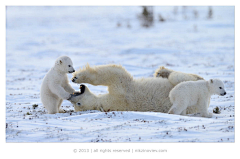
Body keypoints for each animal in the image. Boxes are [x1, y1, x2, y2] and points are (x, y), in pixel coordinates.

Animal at [69, 64, 201, 113]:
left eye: (78, 103)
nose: (70, 97)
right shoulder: (121, 95)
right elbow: (116, 74)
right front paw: (77, 77)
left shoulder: (121, 93)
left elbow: (114, 74)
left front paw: (76, 77)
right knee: (181, 78)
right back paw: (162, 72)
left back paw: (161, 72)